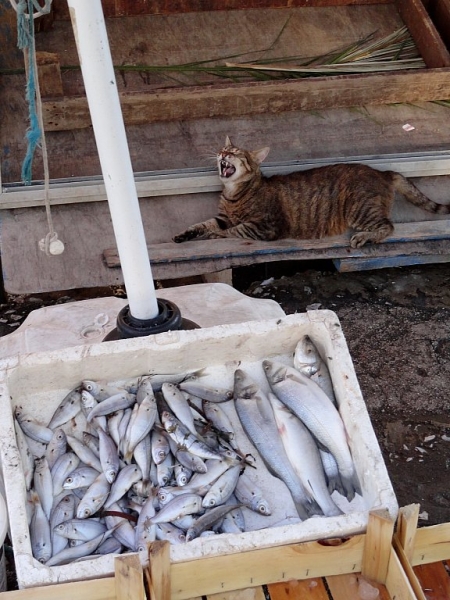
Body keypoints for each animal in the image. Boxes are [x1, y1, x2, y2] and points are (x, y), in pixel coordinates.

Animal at [175, 137, 450, 247]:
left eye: (236, 153)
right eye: (224, 149)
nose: (222, 153)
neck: (233, 193)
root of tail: (382, 172)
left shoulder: (266, 226)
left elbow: (232, 231)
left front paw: (212, 237)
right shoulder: (222, 217)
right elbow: (203, 224)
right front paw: (185, 234)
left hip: (359, 209)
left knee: (388, 226)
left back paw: (365, 237)